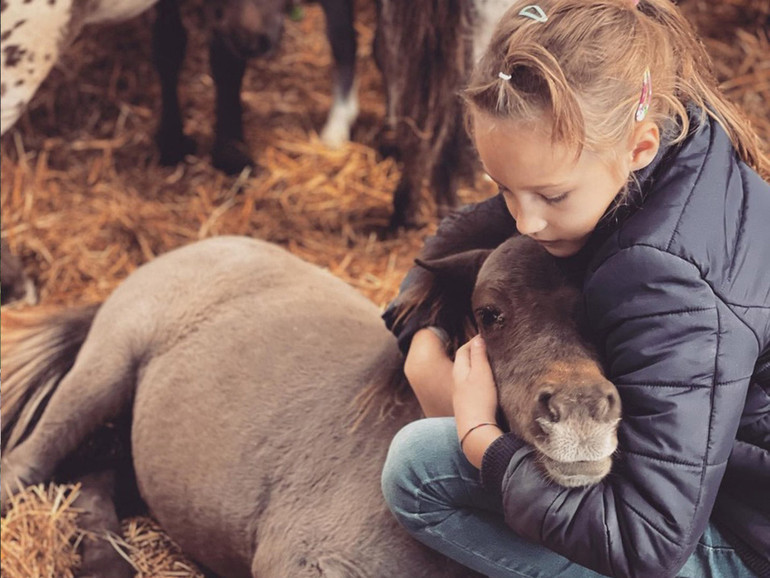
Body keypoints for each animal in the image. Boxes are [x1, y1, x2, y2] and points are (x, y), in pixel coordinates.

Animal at [0, 234, 616, 576]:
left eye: (601, 309)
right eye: (490, 313)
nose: (582, 412)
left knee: (95, 477)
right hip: (105, 370)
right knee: (29, 462)